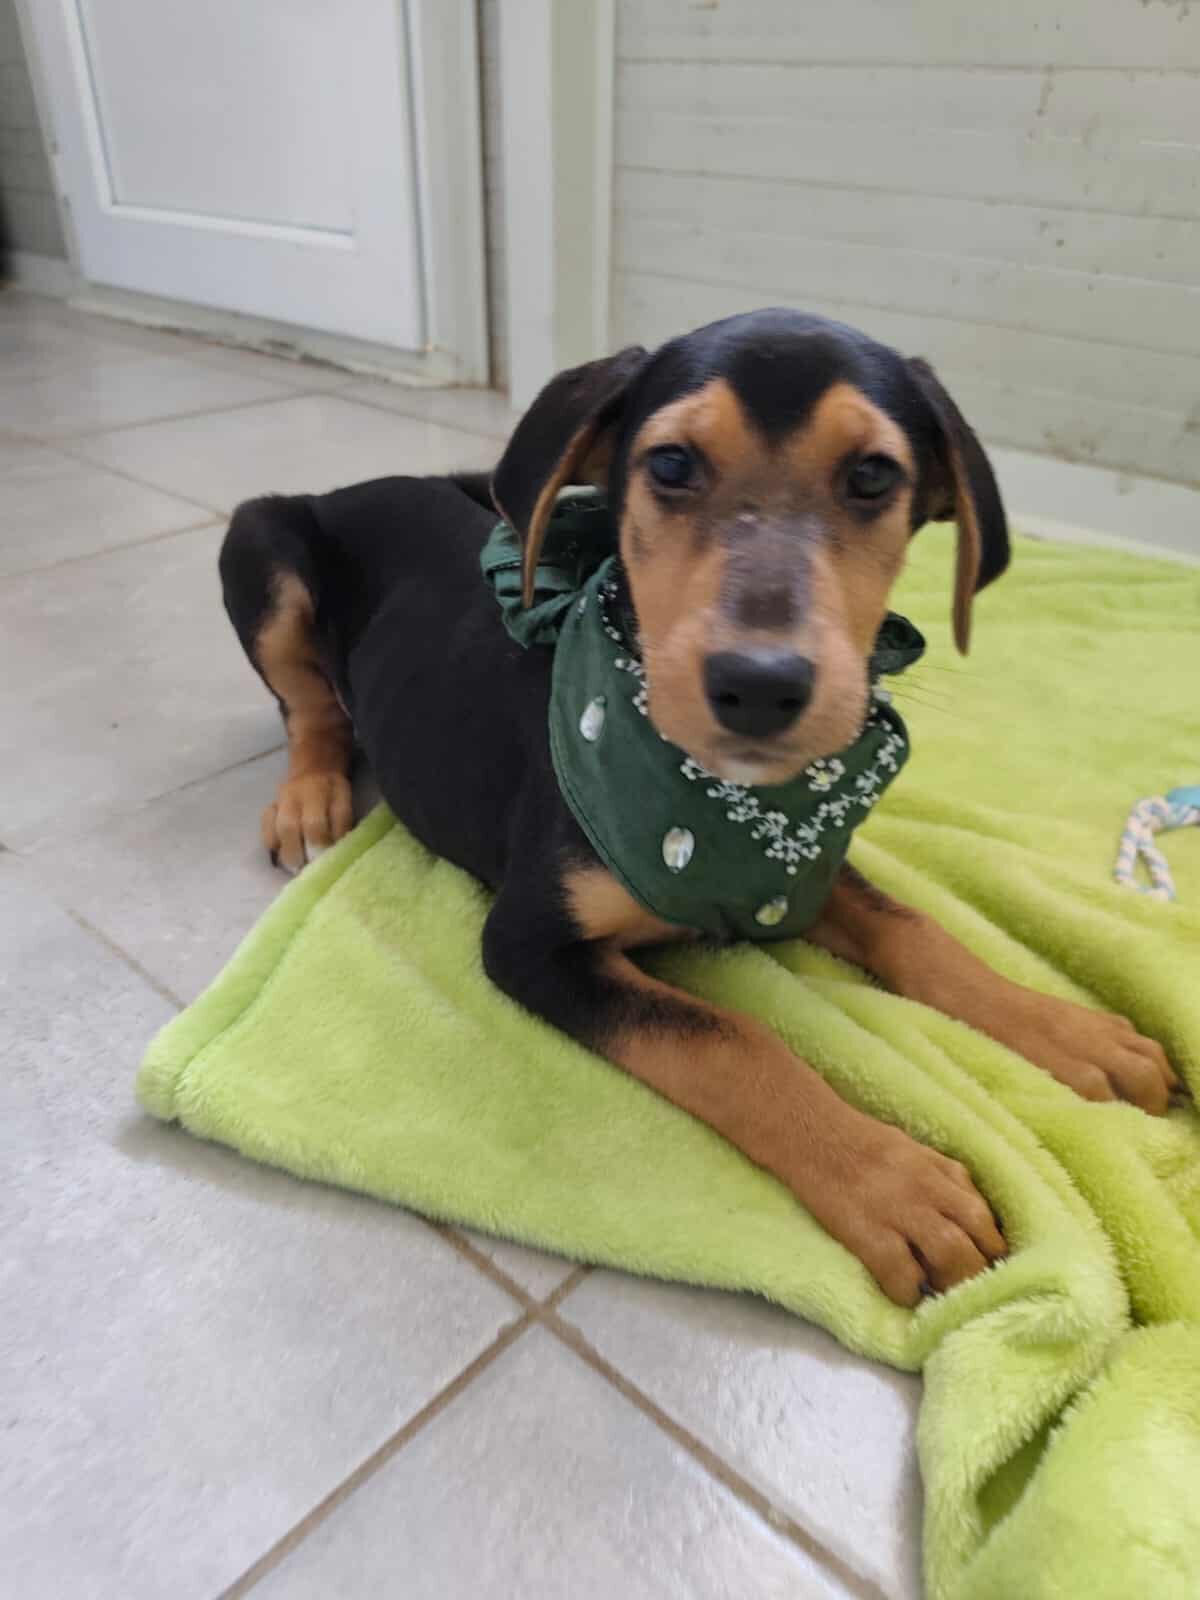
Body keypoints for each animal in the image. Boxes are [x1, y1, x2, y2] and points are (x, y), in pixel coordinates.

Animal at [220, 308, 1177, 1306]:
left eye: (874, 476)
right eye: (673, 464)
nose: (760, 686)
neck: (726, 803)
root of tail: (361, 484)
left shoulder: (808, 867)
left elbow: (915, 930)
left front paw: (1068, 1030)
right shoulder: (528, 943)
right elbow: (728, 1036)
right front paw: (895, 1182)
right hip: (261, 540)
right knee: (310, 706)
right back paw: (308, 798)